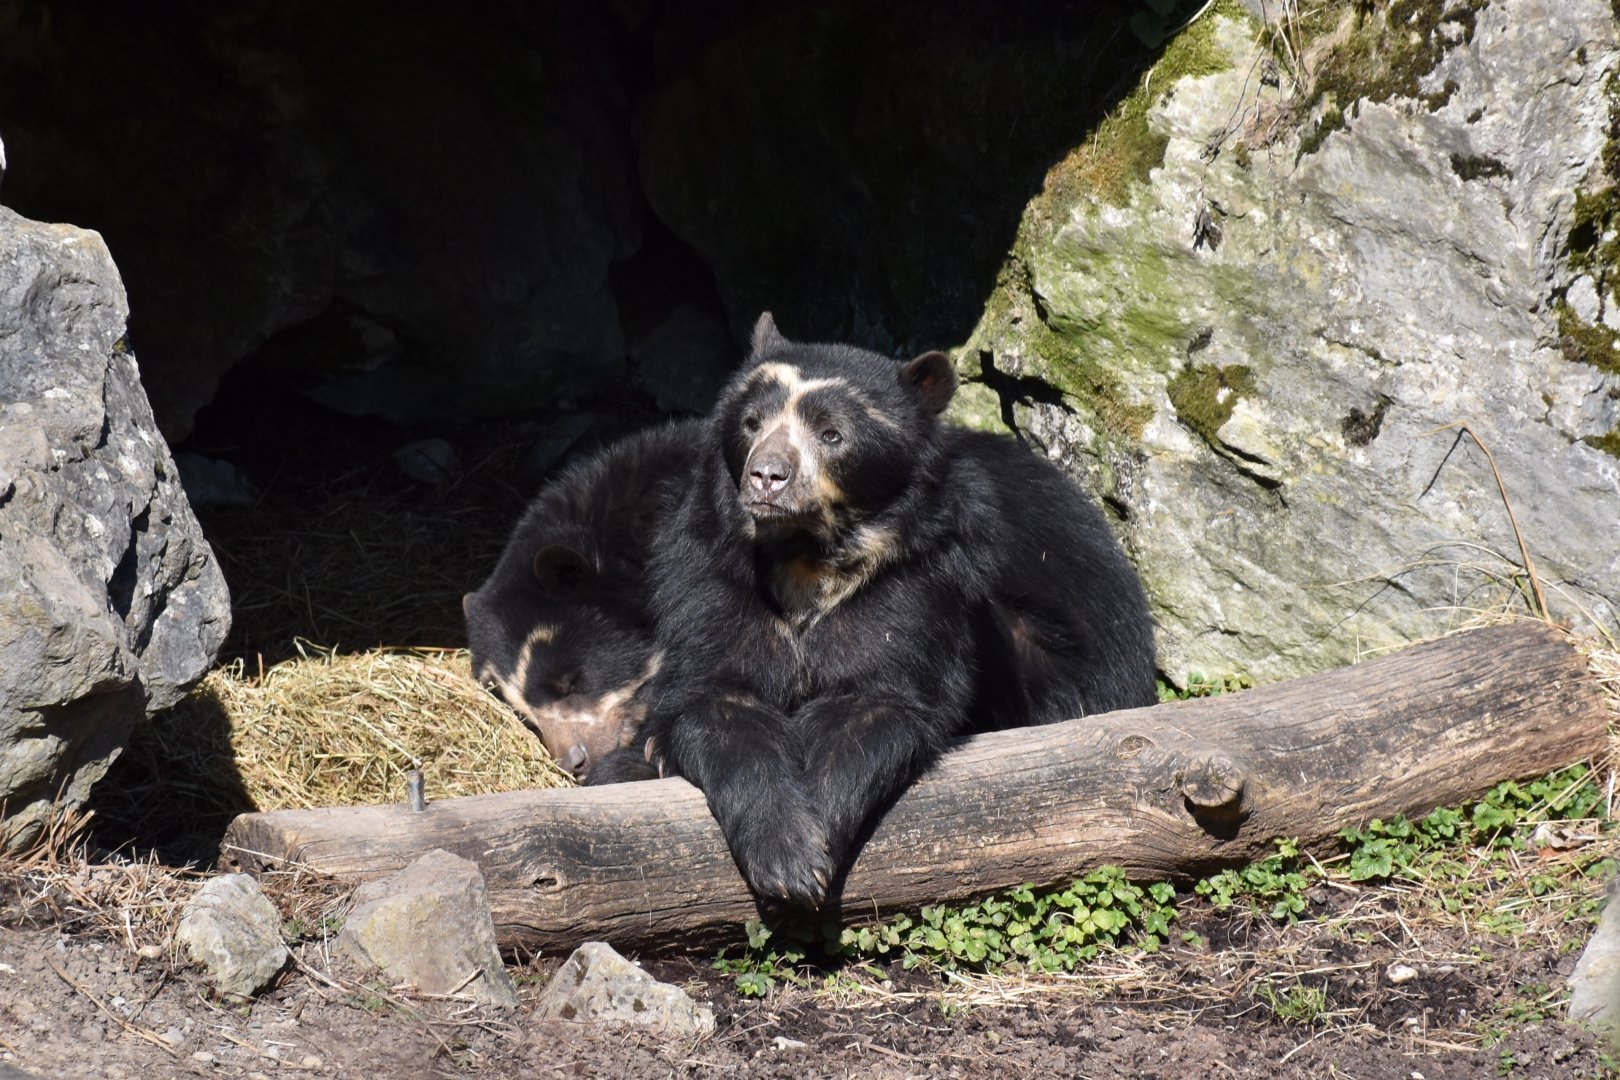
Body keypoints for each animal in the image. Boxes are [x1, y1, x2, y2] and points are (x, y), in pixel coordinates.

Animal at [587, 314, 1155, 908]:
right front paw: (785, 855)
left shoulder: (916, 584)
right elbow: (718, 700)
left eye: (832, 434)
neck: (806, 558)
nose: (767, 475)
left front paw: (811, 854)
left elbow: (876, 701)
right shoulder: (712, 582)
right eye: (751, 422)